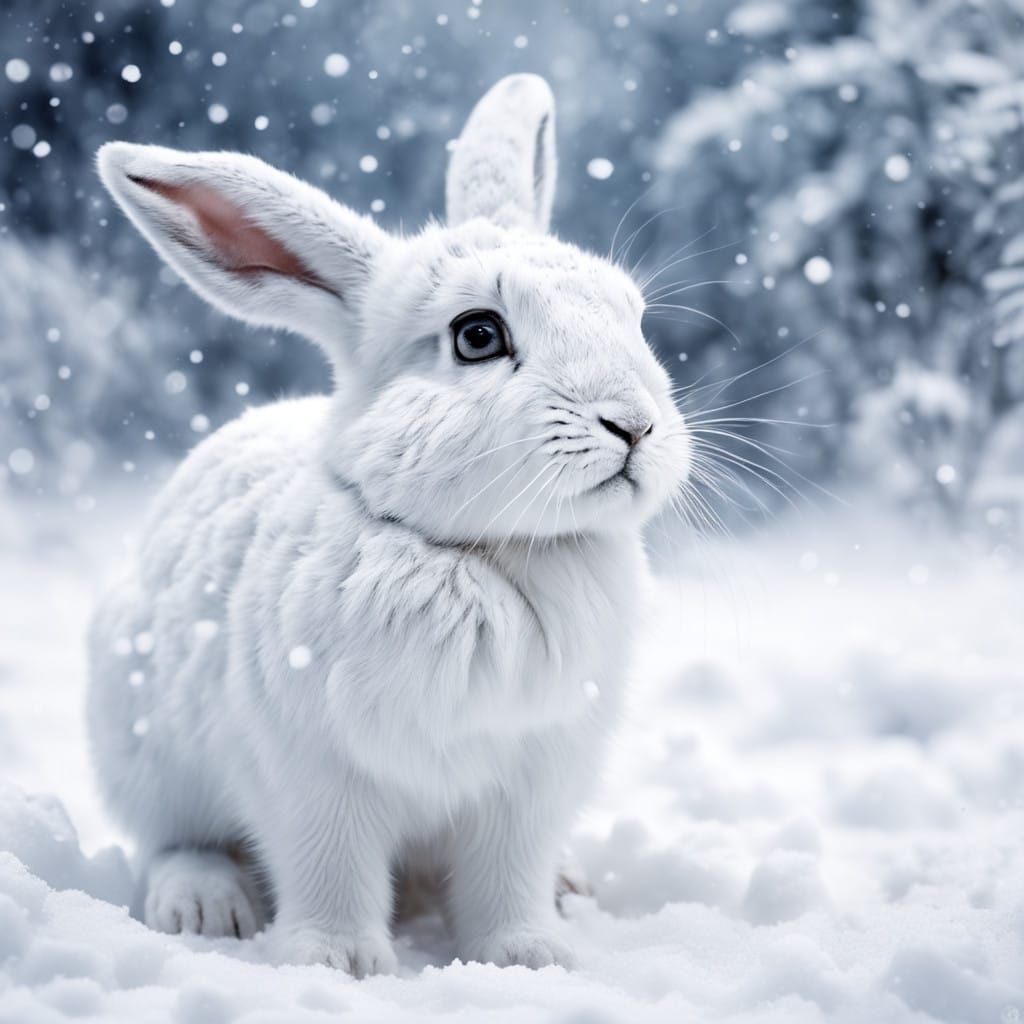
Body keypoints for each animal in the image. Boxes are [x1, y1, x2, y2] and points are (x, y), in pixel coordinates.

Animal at [88, 73, 691, 976]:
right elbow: (330, 870)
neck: (481, 552)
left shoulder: (532, 780)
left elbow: (508, 876)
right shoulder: (313, 774)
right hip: (145, 755)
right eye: (478, 335)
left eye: (634, 317)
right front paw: (340, 965)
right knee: (172, 841)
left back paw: (568, 888)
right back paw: (203, 907)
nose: (636, 425)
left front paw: (529, 955)